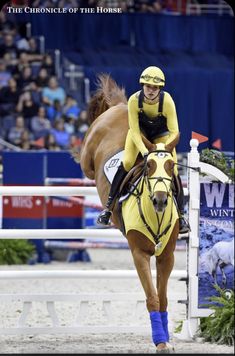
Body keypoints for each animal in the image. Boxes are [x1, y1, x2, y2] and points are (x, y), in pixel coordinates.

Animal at [79, 73, 180, 352]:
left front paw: (166, 339)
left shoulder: (166, 256)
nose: (160, 200)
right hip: (89, 155)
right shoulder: (139, 254)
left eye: (171, 166)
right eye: (149, 166)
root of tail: (120, 106)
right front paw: (160, 342)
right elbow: (152, 298)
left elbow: (163, 298)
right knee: (88, 163)